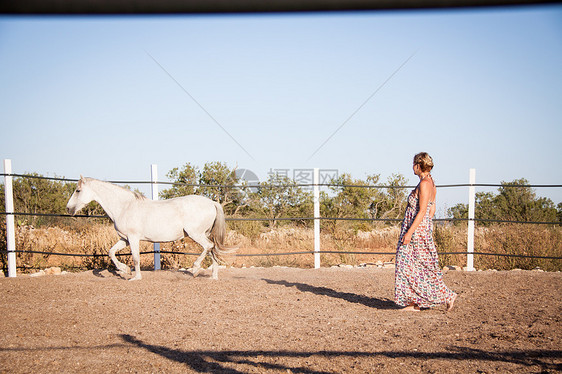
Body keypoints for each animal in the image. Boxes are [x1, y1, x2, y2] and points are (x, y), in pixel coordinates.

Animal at [65, 177, 234, 280]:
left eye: (78, 190)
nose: (68, 208)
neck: (125, 207)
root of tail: (212, 202)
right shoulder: (125, 239)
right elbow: (111, 252)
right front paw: (124, 270)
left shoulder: (133, 238)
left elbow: (135, 257)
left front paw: (135, 277)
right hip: (204, 233)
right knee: (212, 249)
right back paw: (213, 276)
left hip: (196, 234)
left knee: (208, 246)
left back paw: (195, 268)